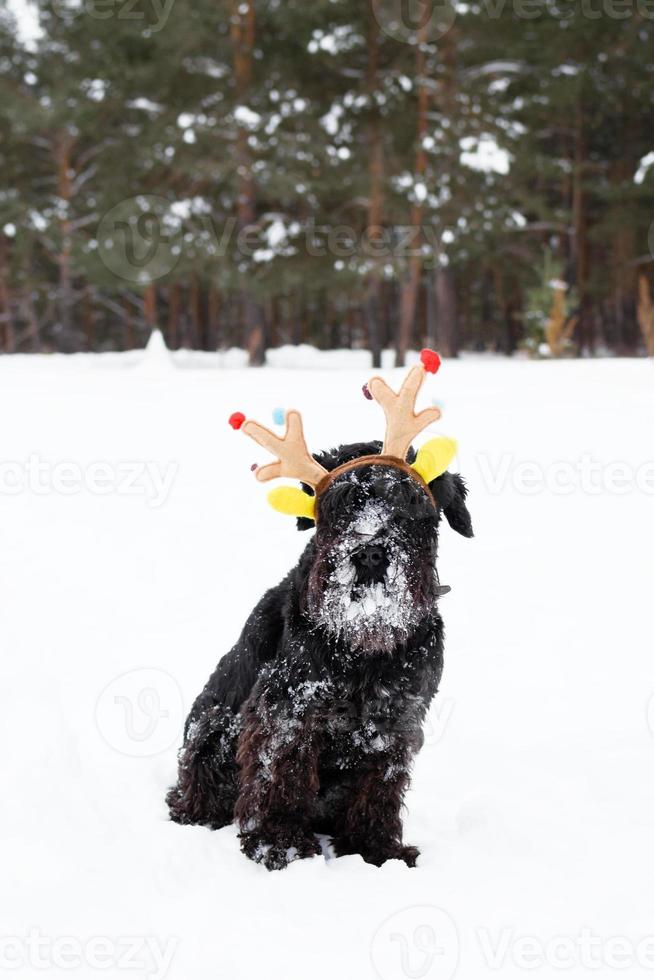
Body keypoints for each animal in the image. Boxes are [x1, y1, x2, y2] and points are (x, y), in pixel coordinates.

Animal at [167, 440, 474, 868]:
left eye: (410, 504)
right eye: (341, 505)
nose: (370, 554)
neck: (364, 649)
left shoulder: (396, 720)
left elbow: (379, 788)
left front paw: (376, 849)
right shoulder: (288, 712)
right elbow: (282, 776)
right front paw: (281, 844)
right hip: (214, 727)